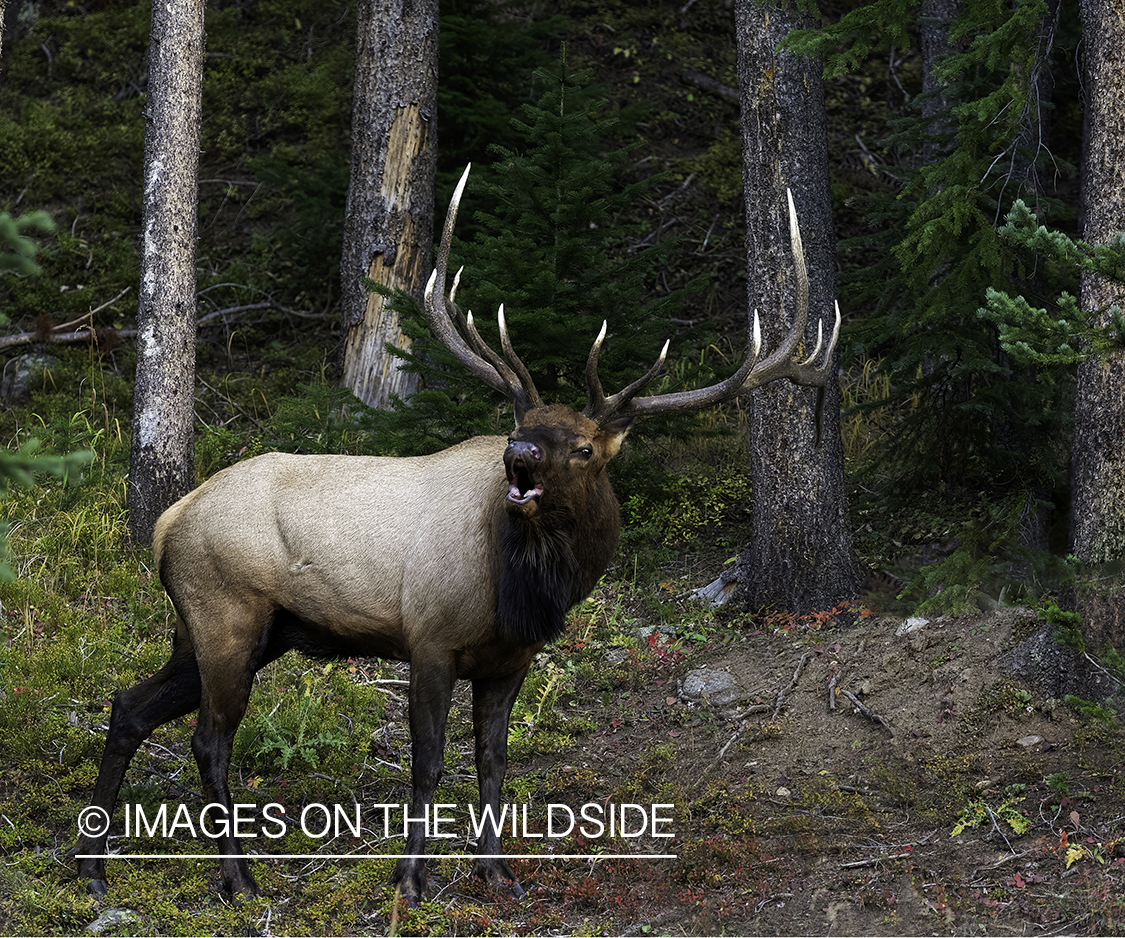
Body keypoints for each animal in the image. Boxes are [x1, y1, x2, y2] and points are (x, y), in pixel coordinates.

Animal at [74, 164, 841, 904]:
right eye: (520, 425)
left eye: (583, 447)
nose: (519, 455)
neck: (525, 588)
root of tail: (169, 522)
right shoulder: (429, 638)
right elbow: (429, 762)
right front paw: (411, 880)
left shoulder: (510, 660)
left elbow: (493, 760)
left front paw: (496, 873)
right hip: (227, 614)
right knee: (208, 740)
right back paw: (236, 879)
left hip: (227, 631)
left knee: (129, 705)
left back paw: (94, 870)